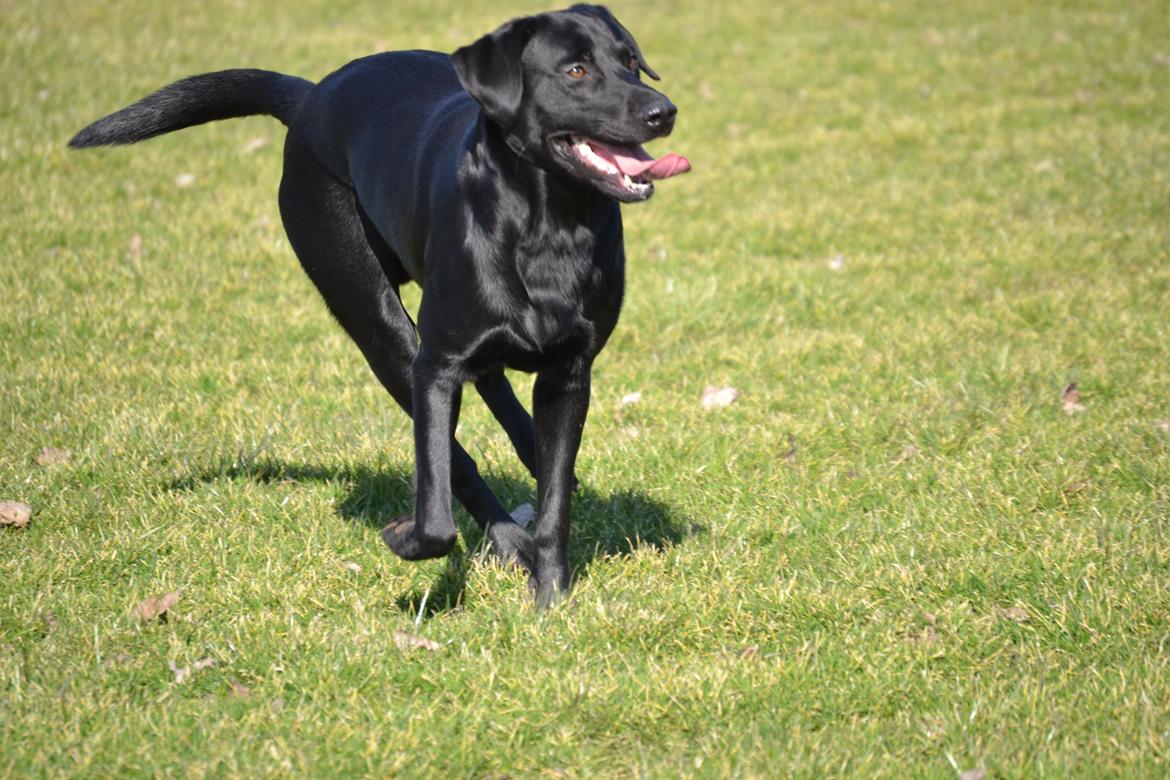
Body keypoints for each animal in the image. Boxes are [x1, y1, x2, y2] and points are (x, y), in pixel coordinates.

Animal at [70, 3, 683, 608]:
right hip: (378, 322)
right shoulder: (433, 367)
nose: (663, 111)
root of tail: (311, 98)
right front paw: (427, 539)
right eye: (576, 70)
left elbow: (555, 502)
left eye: (630, 61)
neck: (549, 223)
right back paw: (508, 539)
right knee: (453, 437)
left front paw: (552, 599)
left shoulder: (569, 373)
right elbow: (439, 503)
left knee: (494, 389)